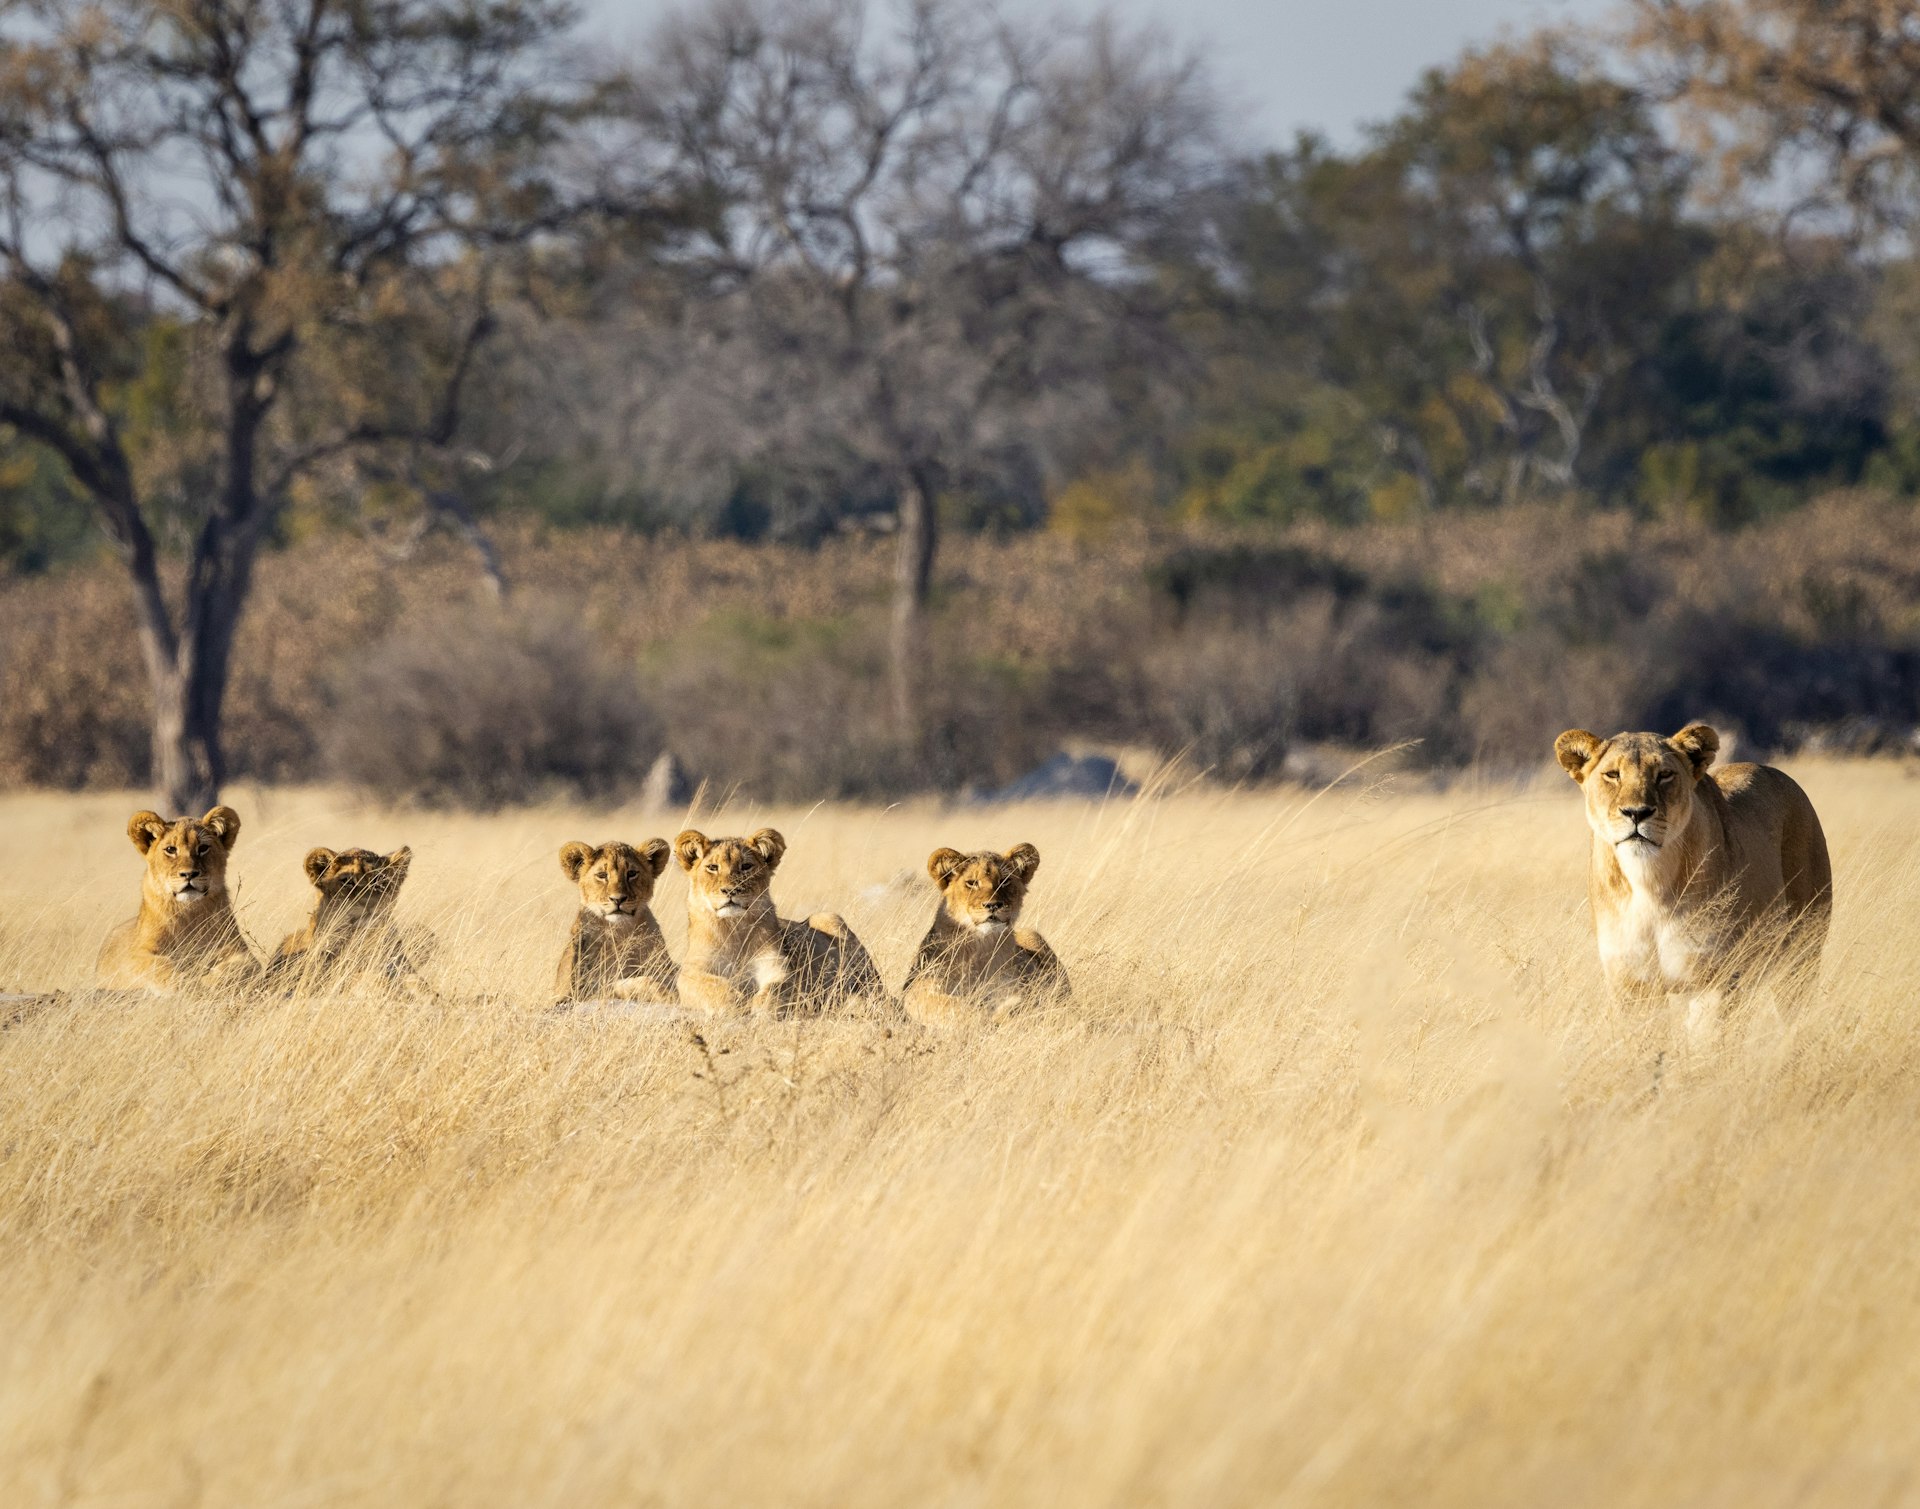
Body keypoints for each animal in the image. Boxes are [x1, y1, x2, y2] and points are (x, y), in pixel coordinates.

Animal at [97, 806, 261, 994]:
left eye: (203, 848)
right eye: (170, 849)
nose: (189, 874)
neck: (188, 912)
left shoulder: (241, 951)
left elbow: (238, 967)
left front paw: (209, 982)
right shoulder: (136, 955)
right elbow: (158, 965)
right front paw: (186, 984)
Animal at [554, 839, 676, 1005]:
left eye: (631, 873)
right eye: (601, 875)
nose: (618, 899)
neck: (620, 932)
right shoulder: (574, 993)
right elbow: (623, 984)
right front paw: (666, 993)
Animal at [673, 827, 885, 1016]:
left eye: (746, 866)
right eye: (712, 867)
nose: (731, 890)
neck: (735, 927)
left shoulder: (778, 968)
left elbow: (775, 989)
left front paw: (761, 1008)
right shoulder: (691, 971)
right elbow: (711, 985)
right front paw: (736, 1002)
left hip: (831, 920)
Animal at [902, 843, 1070, 1023]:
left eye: (1004, 881)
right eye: (972, 883)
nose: (993, 905)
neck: (981, 946)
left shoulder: (1013, 987)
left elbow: (1024, 1001)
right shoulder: (918, 986)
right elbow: (946, 1003)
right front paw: (981, 1016)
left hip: (1031, 934)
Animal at [1554, 722, 1831, 1023]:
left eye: (1664, 775)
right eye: (1612, 775)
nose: (1637, 813)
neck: (1648, 882)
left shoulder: (1713, 980)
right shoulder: (1631, 987)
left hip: (1801, 953)